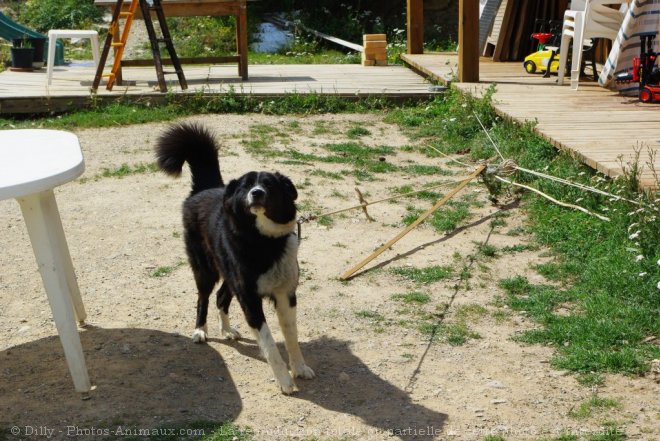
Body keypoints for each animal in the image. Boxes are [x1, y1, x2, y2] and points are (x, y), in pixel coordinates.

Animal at [157, 123, 318, 392]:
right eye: (246, 186)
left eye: (269, 185)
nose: (256, 193)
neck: (265, 241)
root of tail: (205, 188)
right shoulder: (250, 299)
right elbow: (270, 343)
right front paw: (284, 380)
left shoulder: (286, 294)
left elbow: (291, 335)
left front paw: (299, 368)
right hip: (206, 269)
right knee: (203, 298)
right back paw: (200, 331)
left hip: (230, 276)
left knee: (221, 297)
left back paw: (227, 330)